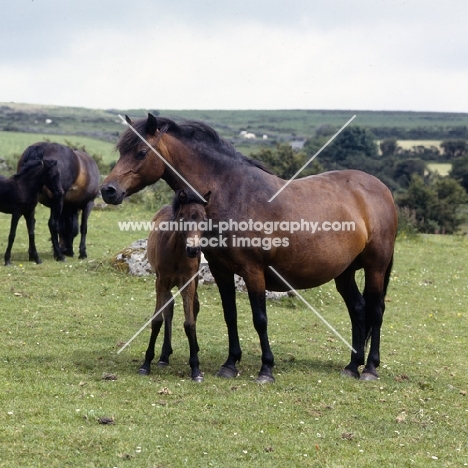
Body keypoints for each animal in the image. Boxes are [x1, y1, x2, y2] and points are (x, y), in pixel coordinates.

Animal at [140, 188, 211, 382]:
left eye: (204, 219)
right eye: (183, 217)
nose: (193, 250)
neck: (176, 252)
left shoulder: (188, 282)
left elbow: (189, 322)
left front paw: (196, 369)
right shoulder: (161, 281)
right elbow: (157, 319)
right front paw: (146, 364)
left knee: (194, 306)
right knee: (169, 307)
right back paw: (164, 356)